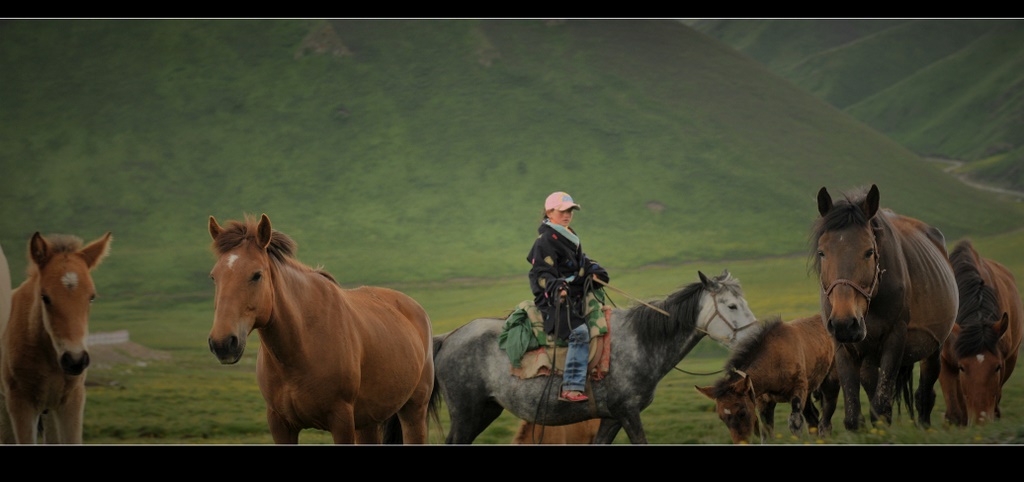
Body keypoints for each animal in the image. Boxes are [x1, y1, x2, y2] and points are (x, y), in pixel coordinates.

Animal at [205, 214, 434, 446]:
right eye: (214, 277)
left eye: (256, 275)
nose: (223, 343)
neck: (302, 345)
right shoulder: (280, 424)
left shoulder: (341, 421)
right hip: (367, 421)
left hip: (414, 409)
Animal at [696, 313, 839, 446]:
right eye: (721, 417)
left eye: (742, 412)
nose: (742, 442)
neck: (775, 359)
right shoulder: (764, 401)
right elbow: (767, 432)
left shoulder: (798, 390)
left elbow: (795, 423)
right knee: (813, 418)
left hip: (830, 384)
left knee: (825, 422)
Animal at [806, 185, 958, 429]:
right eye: (822, 252)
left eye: (869, 252)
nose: (845, 323)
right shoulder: (842, 346)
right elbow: (853, 417)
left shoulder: (895, 338)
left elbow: (881, 408)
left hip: (934, 348)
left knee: (925, 392)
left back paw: (924, 426)